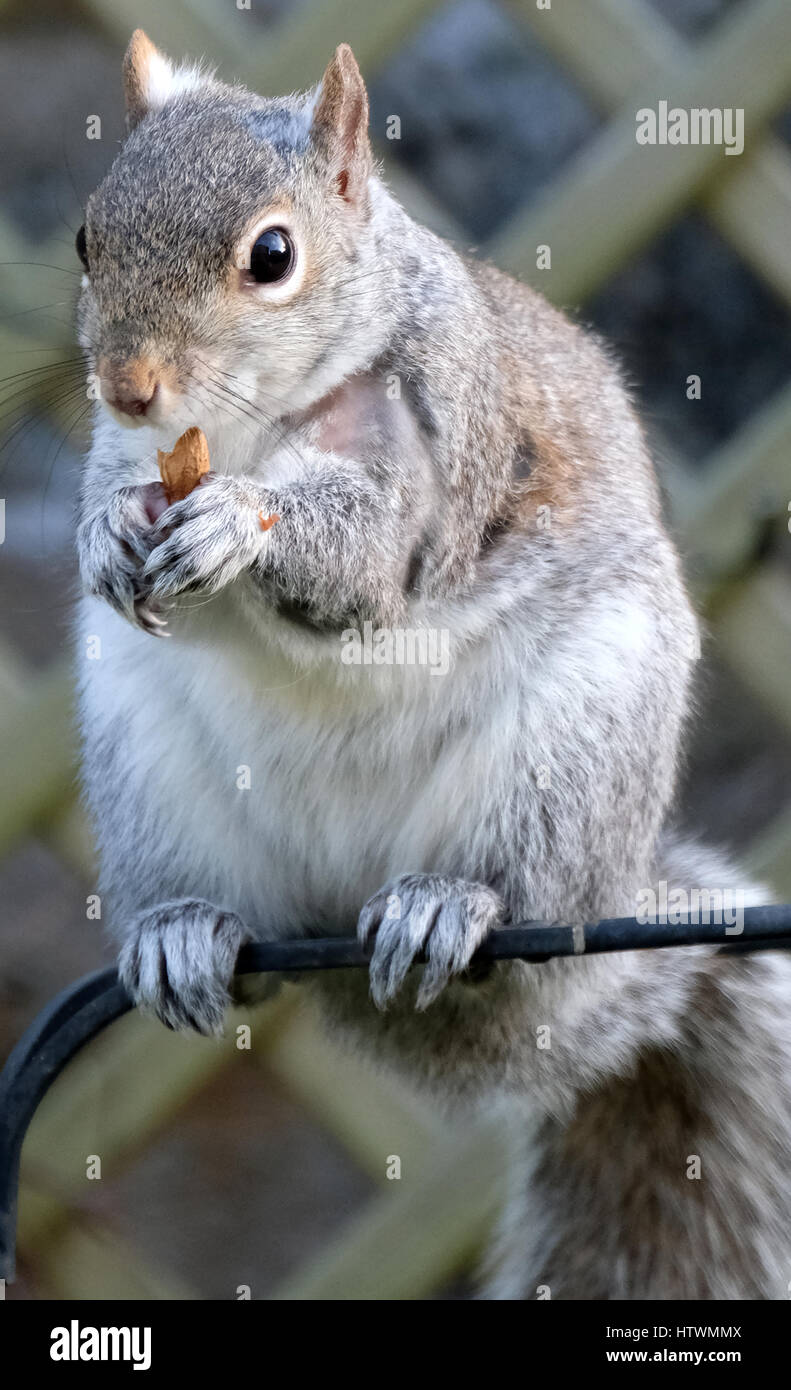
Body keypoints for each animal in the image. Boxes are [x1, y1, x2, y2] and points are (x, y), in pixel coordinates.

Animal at [75, 30, 791, 1299]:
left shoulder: (440, 444)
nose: (127, 384)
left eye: (272, 255)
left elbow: (363, 562)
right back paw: (182, 930)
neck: (254, 425)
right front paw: (112, 534)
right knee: (228, 927)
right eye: (84, 239)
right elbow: (99, 503)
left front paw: (238, 521)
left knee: (512, 895)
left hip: (571, 752)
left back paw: (445, 905)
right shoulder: (126, 453)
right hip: (144, 764)